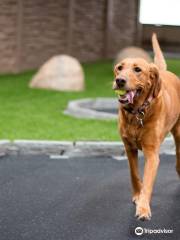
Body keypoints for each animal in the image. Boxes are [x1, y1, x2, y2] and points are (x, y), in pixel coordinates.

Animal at [113, 33, 179, 219]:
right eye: (119, 68)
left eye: (137, 70)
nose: (119, 80)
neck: (137, 112)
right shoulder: (129, 148)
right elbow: (134, 174)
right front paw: (138, 195)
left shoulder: (152, 153)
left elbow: (148, 180)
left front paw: (143, 208)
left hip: (179, 132)